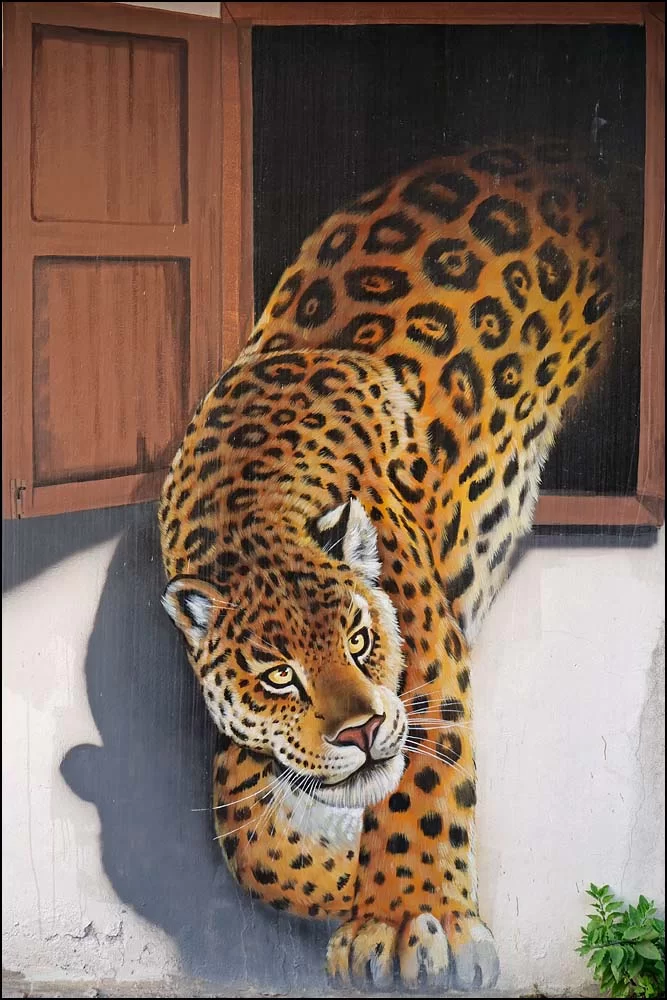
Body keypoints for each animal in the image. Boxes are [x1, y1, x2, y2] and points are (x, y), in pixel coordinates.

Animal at [159, 141, 620, 991]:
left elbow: (421, 783)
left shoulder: (429, 653)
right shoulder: (252, 748)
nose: (365, 729)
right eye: (278, 676)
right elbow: (248, 845)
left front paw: (408, 917)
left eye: (360, 640)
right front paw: (349, 884)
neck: (250, 508)